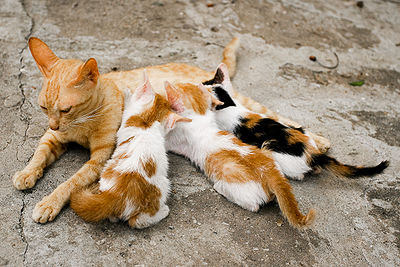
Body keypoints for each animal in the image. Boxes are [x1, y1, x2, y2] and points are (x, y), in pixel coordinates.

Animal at [162, 82, 316, 229]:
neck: (200, 116)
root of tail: (271, 173)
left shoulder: (177, 139)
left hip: (240, 189)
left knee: (253, 205)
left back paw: (221, 189)